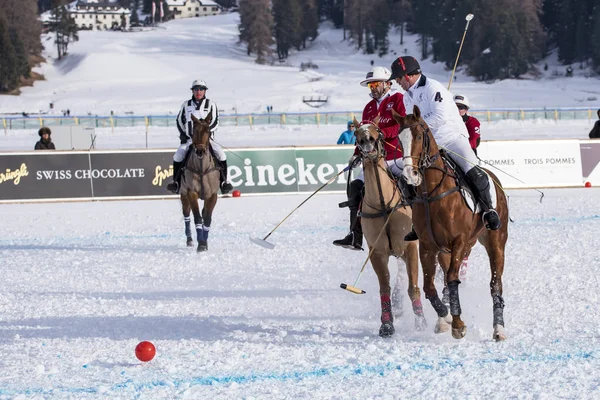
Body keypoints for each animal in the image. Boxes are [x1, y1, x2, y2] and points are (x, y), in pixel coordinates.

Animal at [180, 112, 223, 252]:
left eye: (208, 131)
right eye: (193, 131)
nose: (200, 151)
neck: (201, 169)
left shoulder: (213, 195)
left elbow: (207, 218)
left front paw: (205, 243)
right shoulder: (191, 193)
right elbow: (197, 218)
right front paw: (201, 244)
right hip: (183, 194)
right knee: (186, 215)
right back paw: (189, 240)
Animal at [352, 118, 426, 338]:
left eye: (377, 130)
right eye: (357, 133)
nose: (367, 140)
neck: (383, 204)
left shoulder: (410, 248)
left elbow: (413, 286)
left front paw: (421, 322)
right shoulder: (377, 252)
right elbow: (384, 286)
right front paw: (386, 324)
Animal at [392, 106, 508, 340]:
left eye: (419, 136)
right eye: (400, 139)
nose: (410, 174)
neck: (432, 193)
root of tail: (494, 179)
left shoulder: (459, 241)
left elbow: (453, 279)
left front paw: (457, 324)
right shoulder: (428, 246)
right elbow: (430, 287)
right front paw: (446, 318)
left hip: (496, 242)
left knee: (495, 284)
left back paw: (499, 329)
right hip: (448, 250)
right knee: (445, 280)